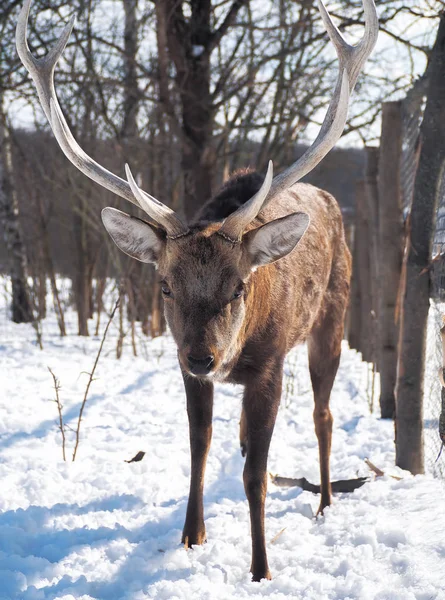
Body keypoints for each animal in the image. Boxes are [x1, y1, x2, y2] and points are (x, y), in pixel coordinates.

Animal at [18, 0, 378, 580]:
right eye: (165, 287)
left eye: (238, 288)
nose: (205, 357)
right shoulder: (185, 371)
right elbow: (199, 446)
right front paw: (191, 538)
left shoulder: (269, 365)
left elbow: (255, 474)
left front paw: (261, 568)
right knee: (246, 436)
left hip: (335, 315)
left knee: (322, 416)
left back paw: (325, 503)